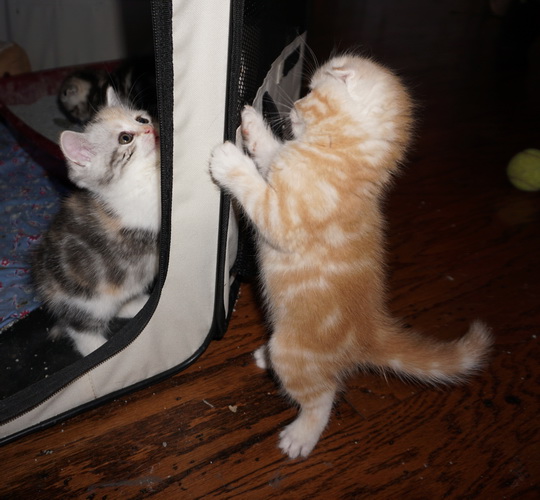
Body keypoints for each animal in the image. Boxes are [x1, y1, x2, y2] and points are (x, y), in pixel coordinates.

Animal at [32, 87, 160, 356]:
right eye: (125, 138)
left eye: (141, 119)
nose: (149, 129)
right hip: (87, 300)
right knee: (80, 329)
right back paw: (99, 350)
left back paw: (138, 305)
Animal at [209, 54, 492, 459]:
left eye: (311, 91)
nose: (293, 106)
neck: (341, 157)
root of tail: (368, 332)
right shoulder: (283, 164)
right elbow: (271, 151)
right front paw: (253, 124)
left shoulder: (283, 218)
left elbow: (255, 190)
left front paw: (230, 160)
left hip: (292, 353)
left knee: (323, 396)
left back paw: (302, 435)